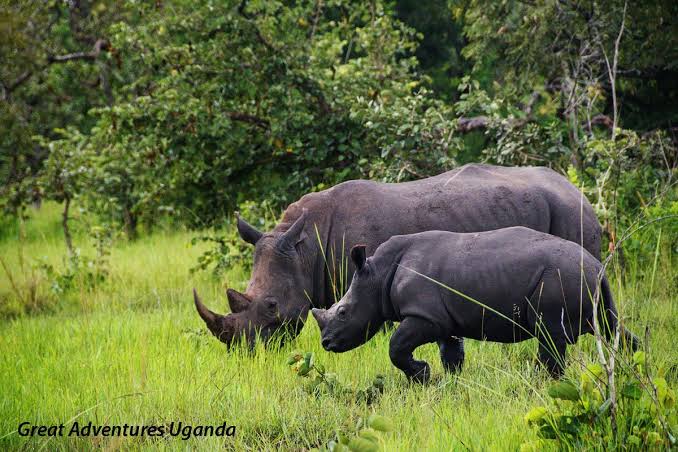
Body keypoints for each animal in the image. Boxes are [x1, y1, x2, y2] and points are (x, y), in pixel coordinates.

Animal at [311, 228, 638, 382]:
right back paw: (633, 365)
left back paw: (542, 382)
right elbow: (452, 354)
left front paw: (421, 375)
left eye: (343, 312)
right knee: (611, 326)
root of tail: (597, 266)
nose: (326, 343)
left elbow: (396, 346)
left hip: (560, 277)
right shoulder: (443, 320)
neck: (377, 274)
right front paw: (445, 383)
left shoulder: (424, 316)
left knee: (549, 335)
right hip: (588, 284)